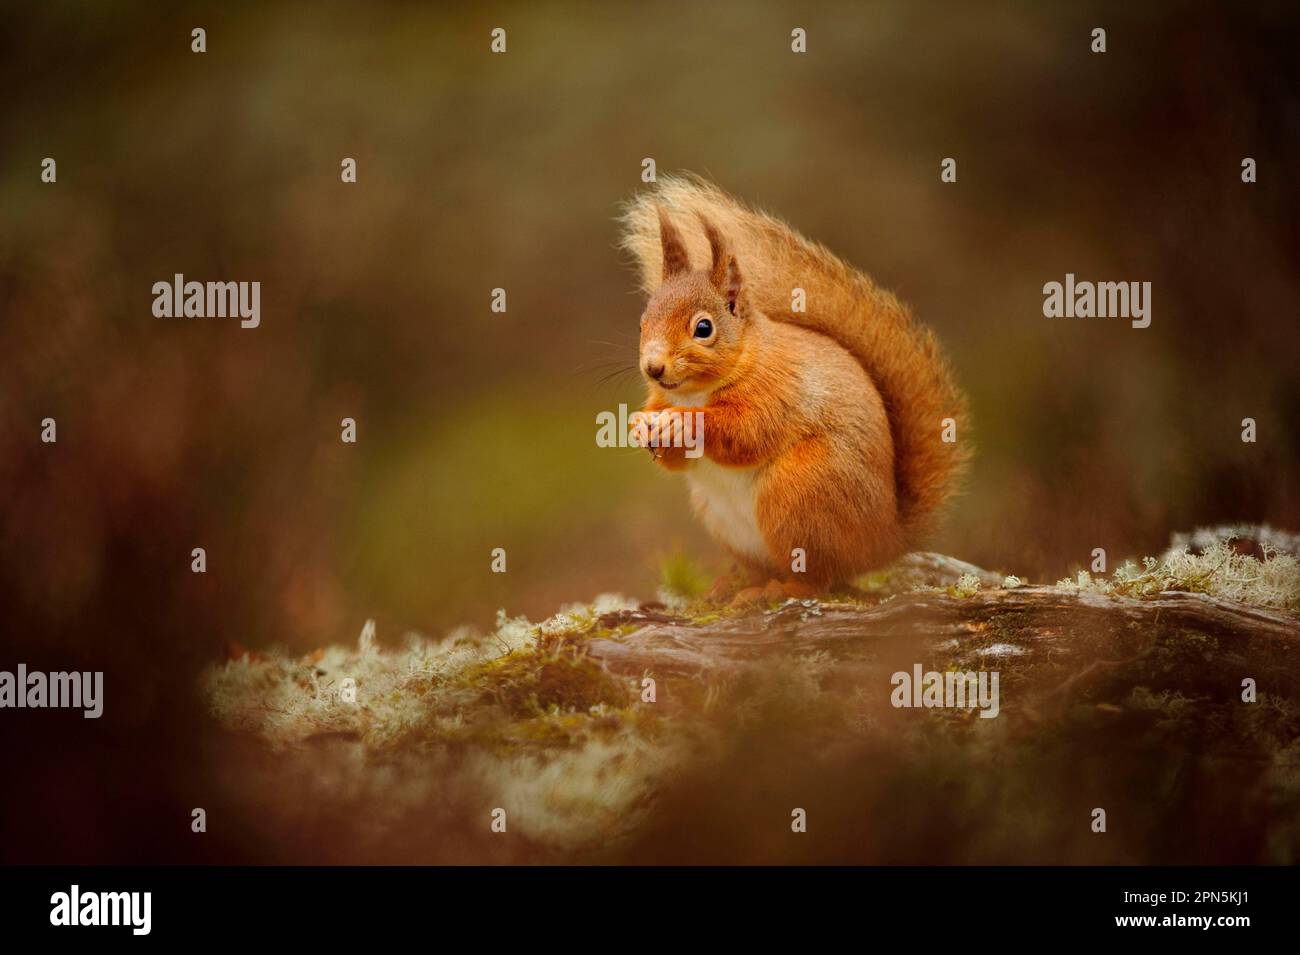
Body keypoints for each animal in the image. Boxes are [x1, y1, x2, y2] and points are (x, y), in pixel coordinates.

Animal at [618, 175, 967, 600]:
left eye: (703, 327)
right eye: (641, 324)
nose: (653, 368)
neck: (692, 393)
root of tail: (884, 541)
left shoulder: (777, 390)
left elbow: (746, 432)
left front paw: (683, 424)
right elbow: (676, 458)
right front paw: (641, 425)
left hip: (799, 494)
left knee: (821, 576)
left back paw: (780, 590)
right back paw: (732, 585)